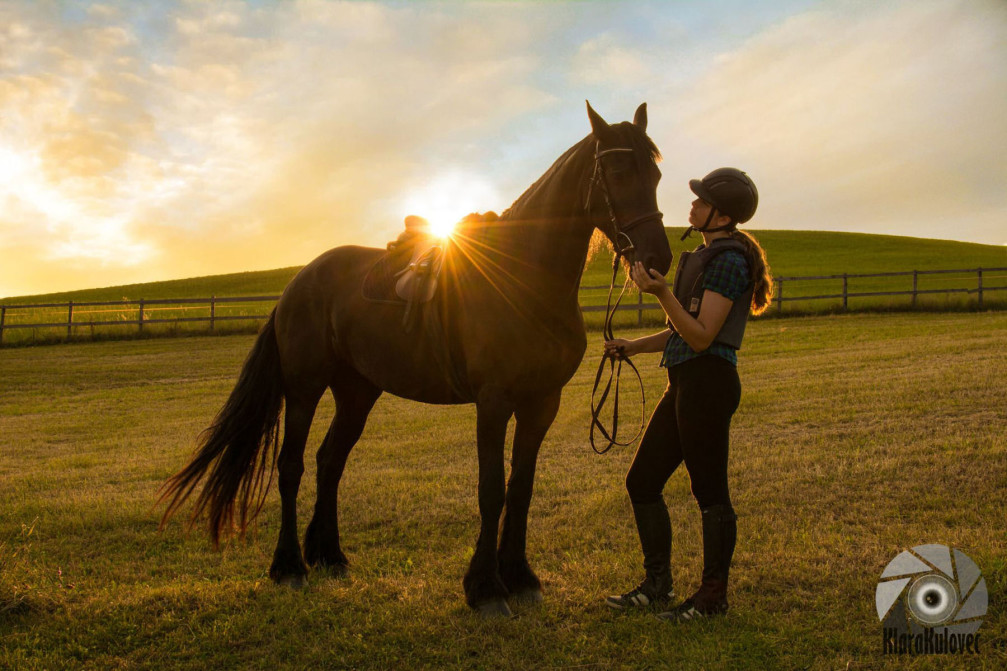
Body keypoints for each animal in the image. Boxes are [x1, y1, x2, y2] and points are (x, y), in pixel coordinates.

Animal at [161, 101, 672, 612]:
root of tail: (297, 284)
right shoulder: (493, 402)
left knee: (330, 462)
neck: (525, 277)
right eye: (618, 172)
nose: (658, 260)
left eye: (656, 175)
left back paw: (329, 554)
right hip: (304, 389)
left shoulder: (541, 403)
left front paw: (519, 575)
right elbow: (491, 489)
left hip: (357, 393)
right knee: (292, 467)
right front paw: (485, 587)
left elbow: (520, 487)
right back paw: (289, 566)